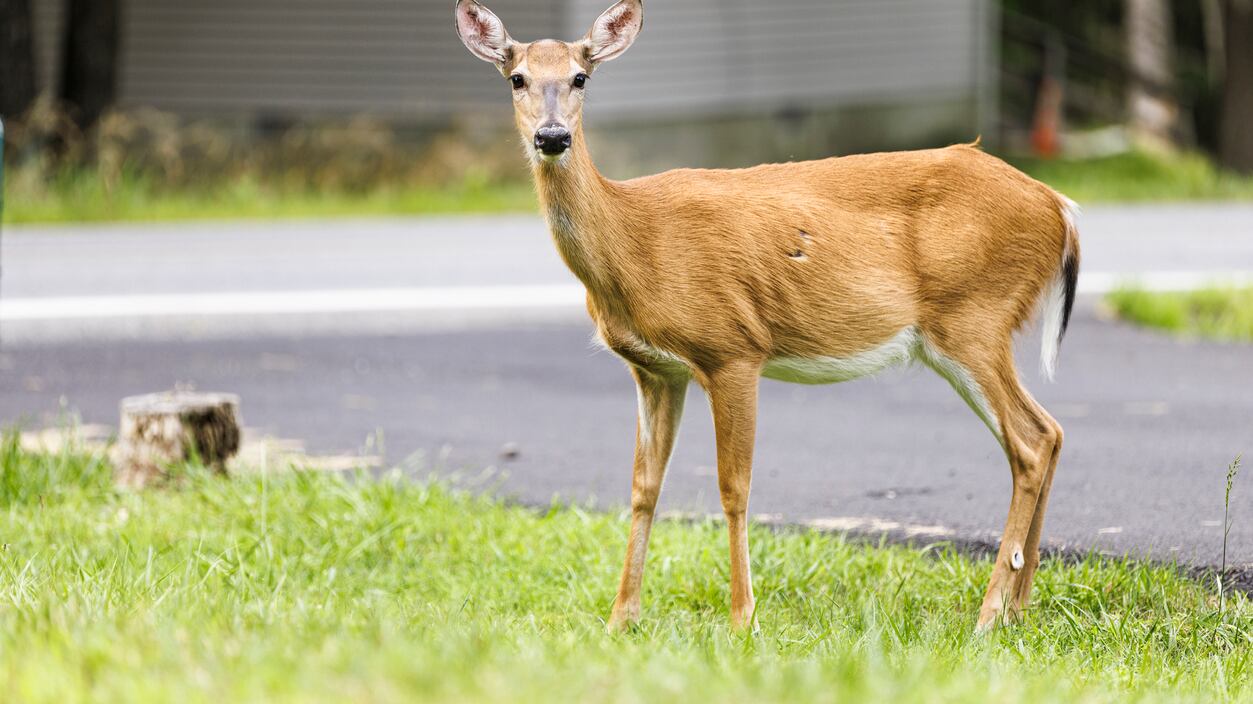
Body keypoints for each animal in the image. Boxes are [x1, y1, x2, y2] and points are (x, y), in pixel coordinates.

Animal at [455, 0, 1080, 633]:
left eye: (581, 77)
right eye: (517, 78)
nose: (552, 136)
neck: (635, 240)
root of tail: (1059, 207)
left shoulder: (731, 349)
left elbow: (734, 488)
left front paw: (742, 619)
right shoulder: (656, 370)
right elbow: (643, 487)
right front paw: (619, 621)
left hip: (974, 315)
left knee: (1030, 442)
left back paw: (988, 614)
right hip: (969, 329)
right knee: (1046, 434)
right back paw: (1018, 608)